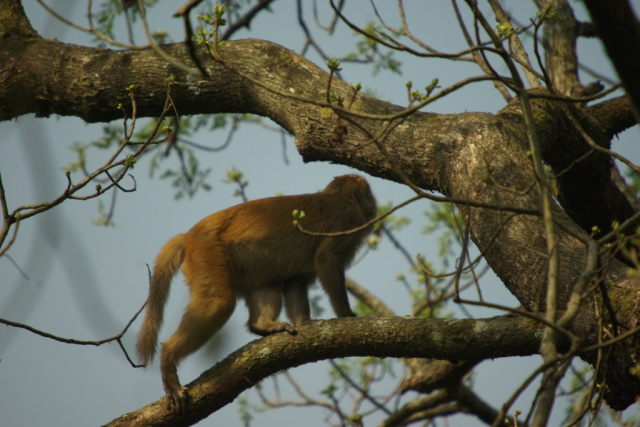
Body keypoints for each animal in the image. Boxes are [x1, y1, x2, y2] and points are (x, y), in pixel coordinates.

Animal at [135, 174, 376, 412]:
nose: (373, 205)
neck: (340, 197)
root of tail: (188, 235)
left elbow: (295, 282)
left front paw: (304, 323)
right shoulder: (347, 219)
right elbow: (327, 260)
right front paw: (346, 315)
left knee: (265, 287)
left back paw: (262, 325)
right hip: (208, 251)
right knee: (219, 303)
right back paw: (168, 359)